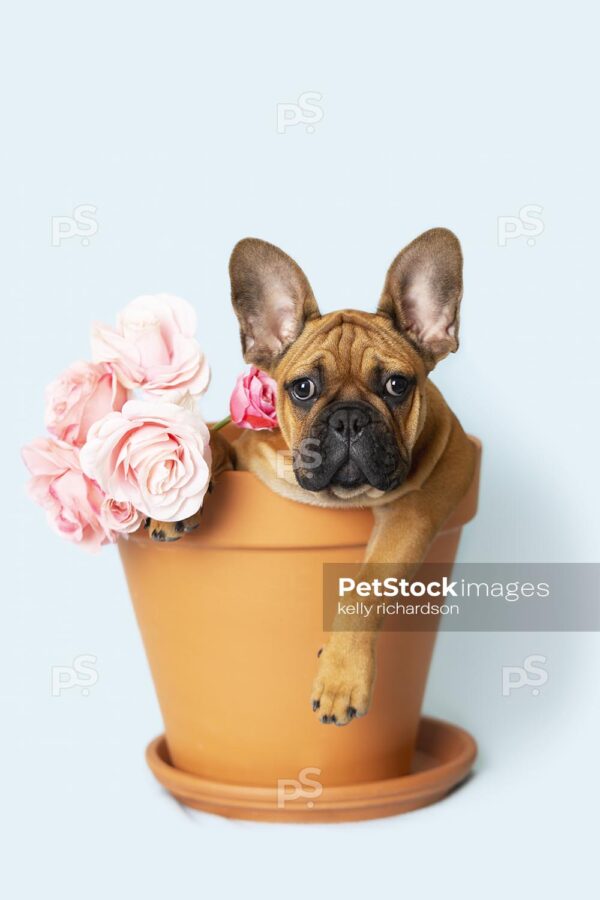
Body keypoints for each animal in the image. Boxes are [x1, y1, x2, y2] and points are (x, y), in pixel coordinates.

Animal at [148, 230, 476, 724]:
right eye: (303, 388)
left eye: (397, 385)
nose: (349, 419)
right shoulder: (243, 446)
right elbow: (213, 444)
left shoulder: (413, 512)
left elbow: (365, 589)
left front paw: (342, 677)